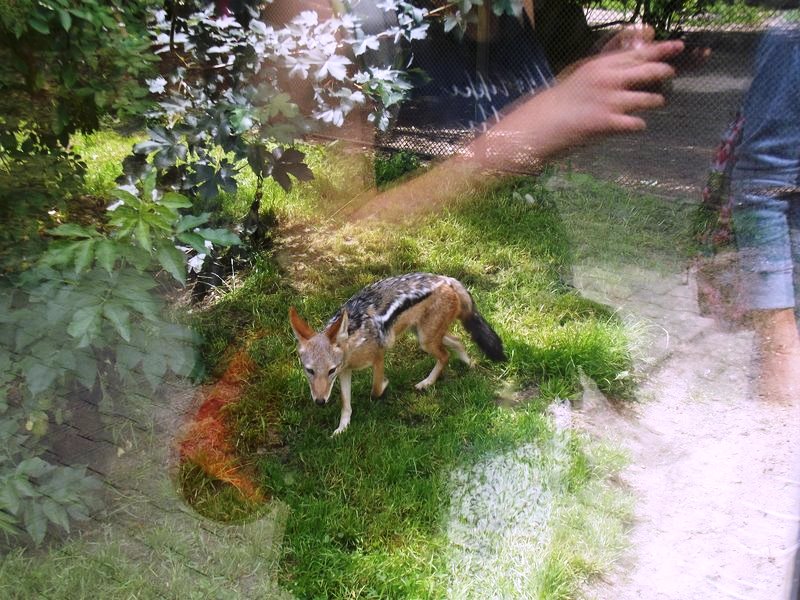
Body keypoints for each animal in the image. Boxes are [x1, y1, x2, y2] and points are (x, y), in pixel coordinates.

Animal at [289, 273, 506, 436]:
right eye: (309, 371)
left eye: (330, 370)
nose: (320, 402)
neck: (354, 342)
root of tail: (447, 279)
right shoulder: (345, 372)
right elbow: (346, 403)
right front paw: (342, 429)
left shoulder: (378, 357)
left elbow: (375, 390)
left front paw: (385, 386)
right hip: (424, 336)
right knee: (458, 342)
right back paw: (468, 364)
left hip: (426, 341)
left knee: (445, 356)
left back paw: (427, 383)